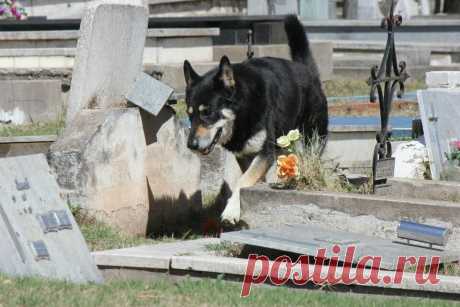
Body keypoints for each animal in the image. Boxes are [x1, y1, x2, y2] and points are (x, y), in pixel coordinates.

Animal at [182, 15, 328, 224]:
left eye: (207, 113)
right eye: (190, 114)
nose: (191, 145)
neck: (243, 111)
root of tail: (308, 71)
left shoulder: (264, 153)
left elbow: (241, 182)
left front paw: (231, 211)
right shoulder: (243, 155)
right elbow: (240, 180)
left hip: (310, 141)